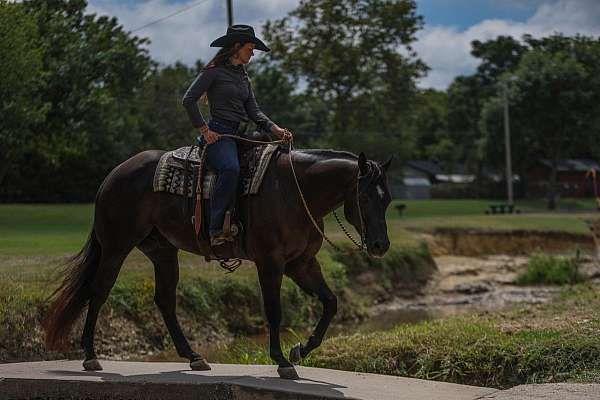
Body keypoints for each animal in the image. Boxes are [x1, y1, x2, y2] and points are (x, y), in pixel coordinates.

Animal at [44, 146, 394, 378]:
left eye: (387, 199)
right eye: (364, 197)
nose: (380, 245)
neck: (296, 192)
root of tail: (114, 175)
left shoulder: (302, 263)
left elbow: (331, 302)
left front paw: (300, 350)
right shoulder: (271, 263)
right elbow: (274, 311)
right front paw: (282, 360)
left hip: (162, 251)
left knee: (165, 300)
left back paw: (193, 356)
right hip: (116, 247)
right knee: (99, 292)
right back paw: (90, 356)